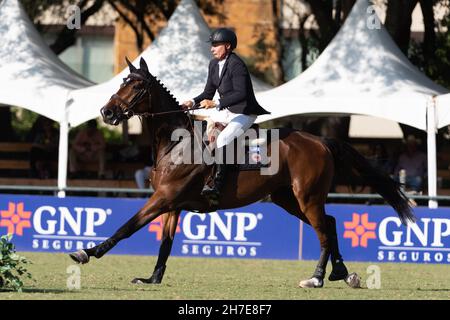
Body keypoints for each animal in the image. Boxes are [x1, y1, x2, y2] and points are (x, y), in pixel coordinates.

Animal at [68, 58, 416, 290]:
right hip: (288, 199)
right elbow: (165, 242)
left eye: (137, 85)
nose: (107, 113)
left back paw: (316, 278)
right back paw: (342, 273)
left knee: (323, 231)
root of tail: (319, 140)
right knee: (329, 225)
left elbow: (126, 228)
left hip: (307, 197)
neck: (175, 143)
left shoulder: (163, 198)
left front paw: (87, 252)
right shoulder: (172, 204)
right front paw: (152, 278)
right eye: (121, 82)